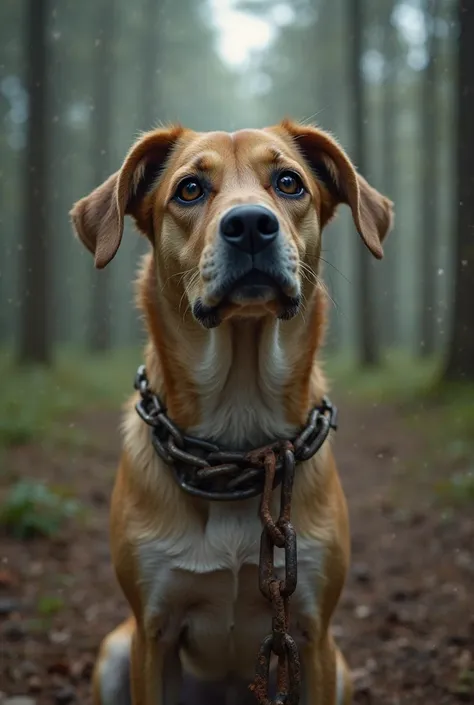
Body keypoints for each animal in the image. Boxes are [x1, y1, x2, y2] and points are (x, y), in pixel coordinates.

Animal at [68, 118, 390, 700]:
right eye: (189, 190)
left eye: (289, 182)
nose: (251, 226)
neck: (241, 439)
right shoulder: (152, 632)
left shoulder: (312, 634)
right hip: (115, 654)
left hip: (340, 668)